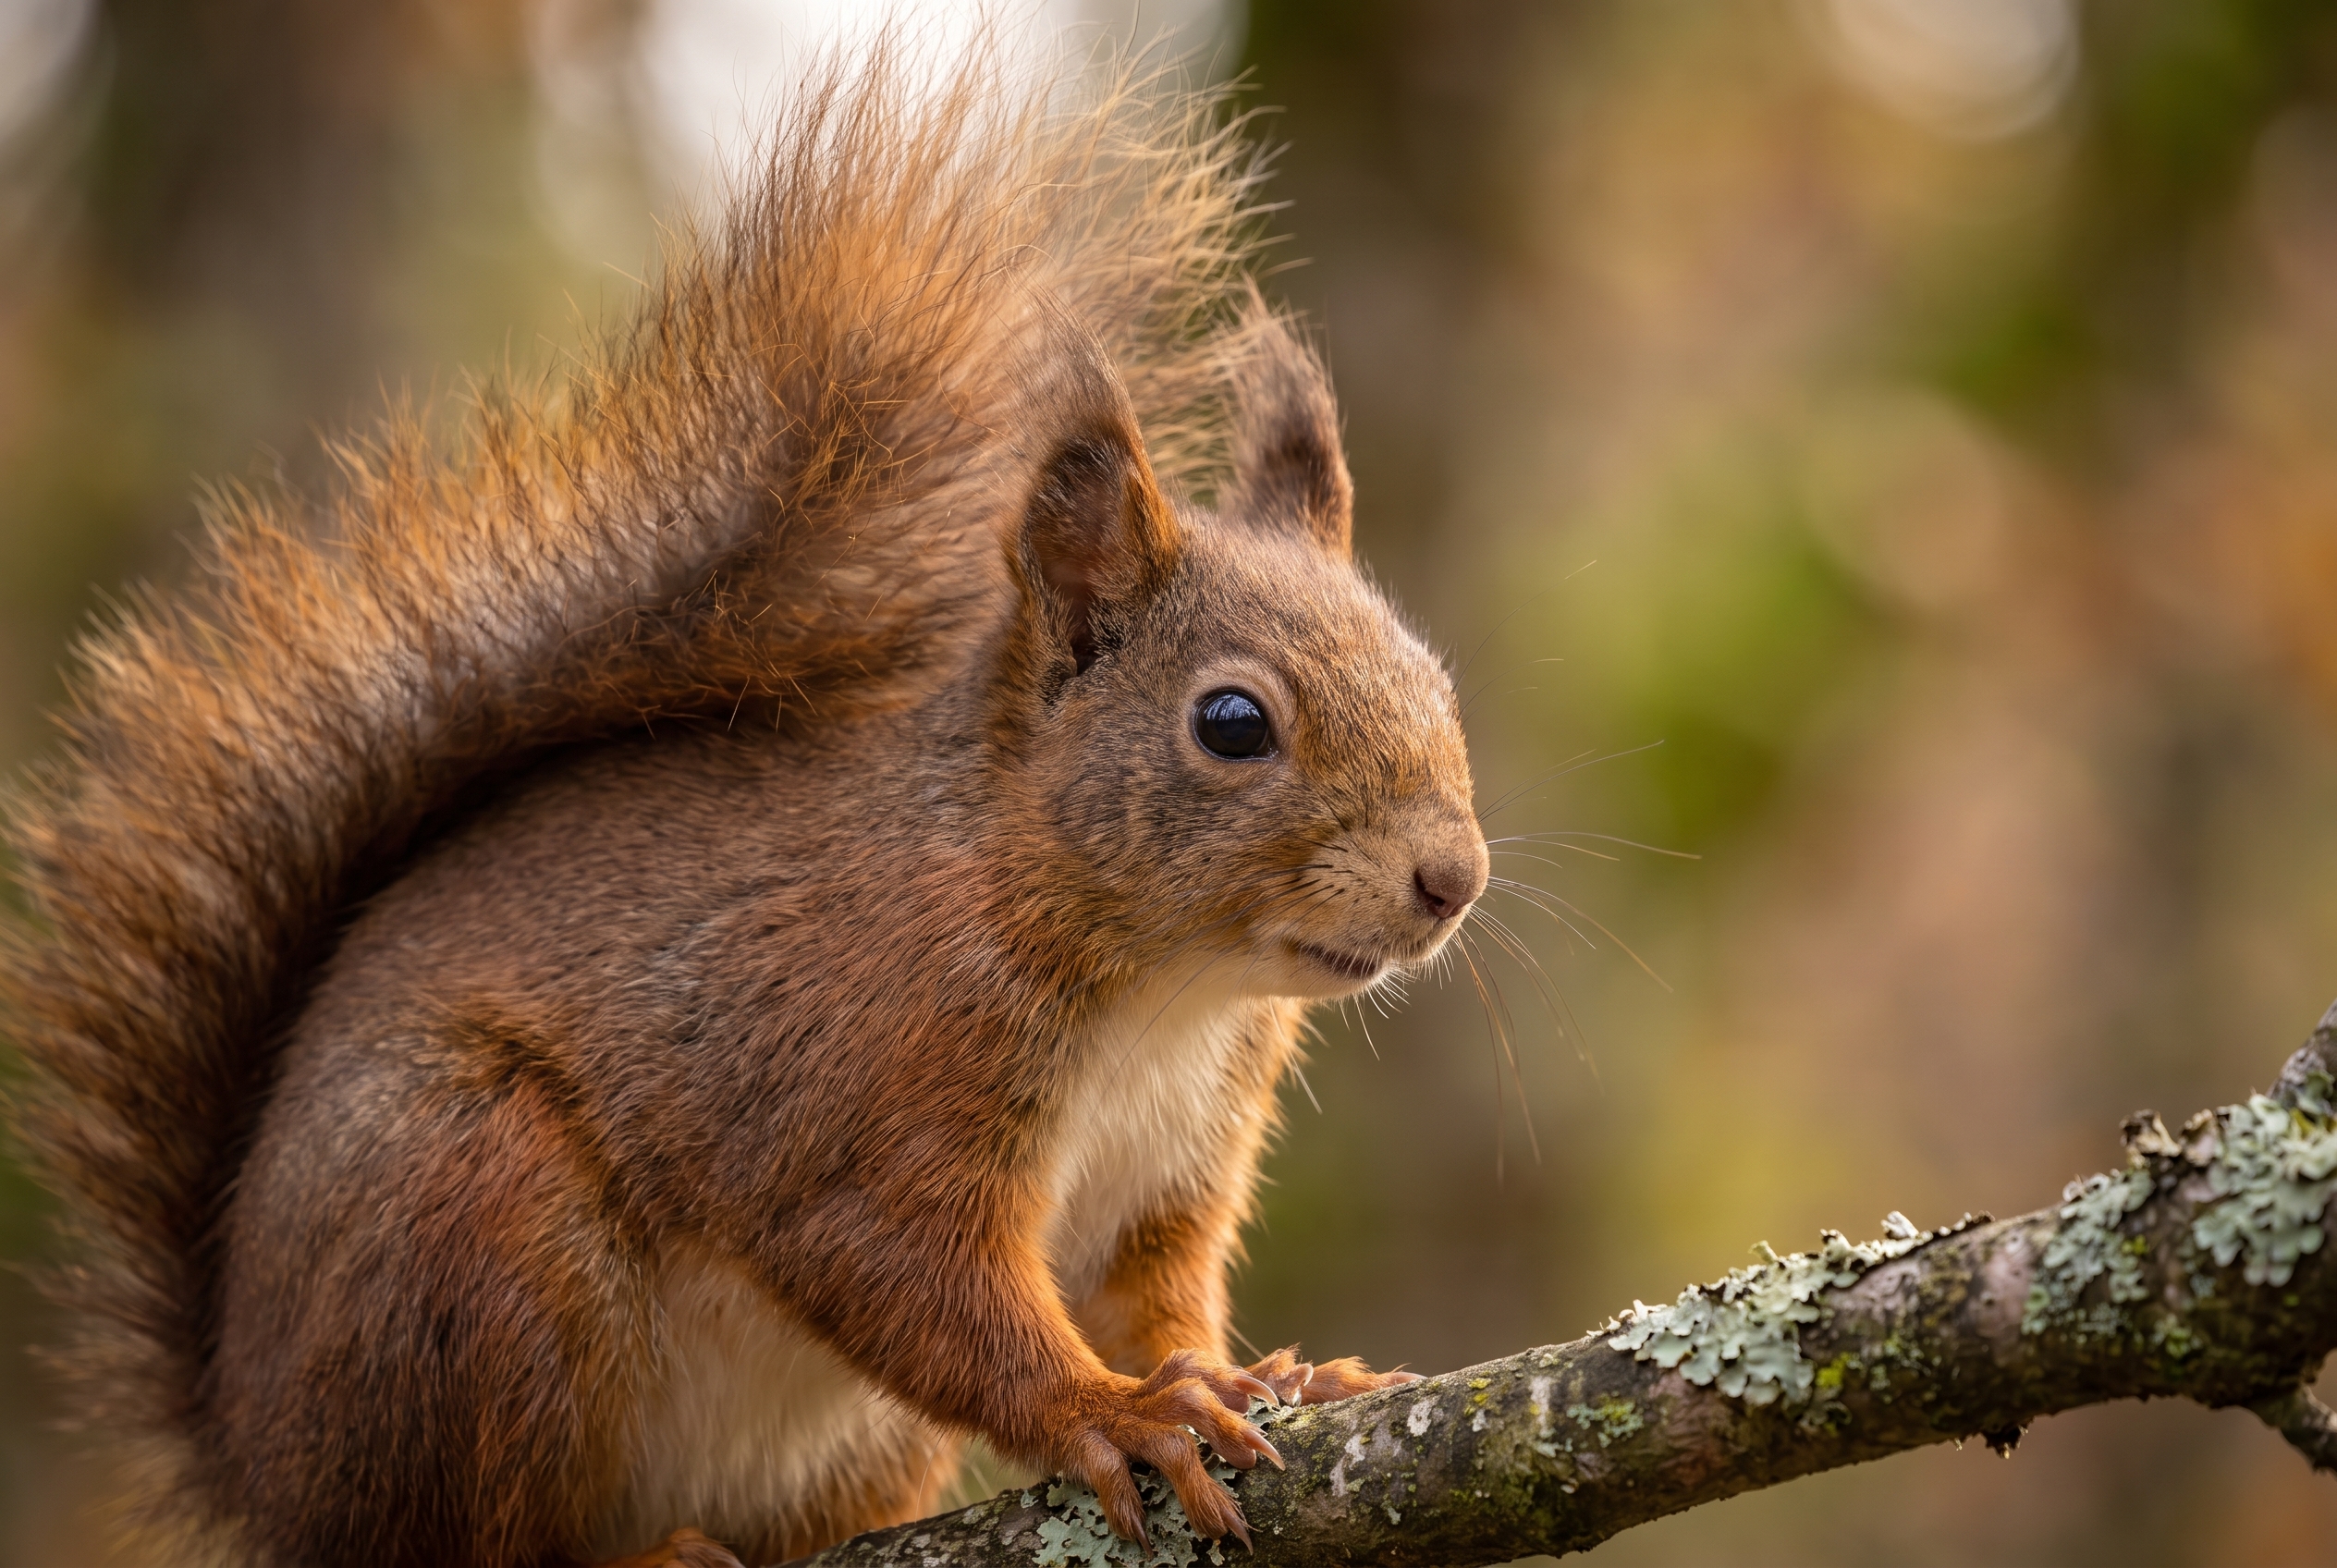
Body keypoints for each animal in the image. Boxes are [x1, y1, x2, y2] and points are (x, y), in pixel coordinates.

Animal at [1, 34, 1488, 1568]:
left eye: (1433, 676)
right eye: (1232, 724)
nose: (1453, 880)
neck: (1162, 991)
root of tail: (263, 1470)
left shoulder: (1174, 1168)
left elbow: (1155, 1296)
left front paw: (1264, 1373)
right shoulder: (861, 1090)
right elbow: (917, 1283)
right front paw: (1116, 1412)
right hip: (472, 1232)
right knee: (473, 1529)